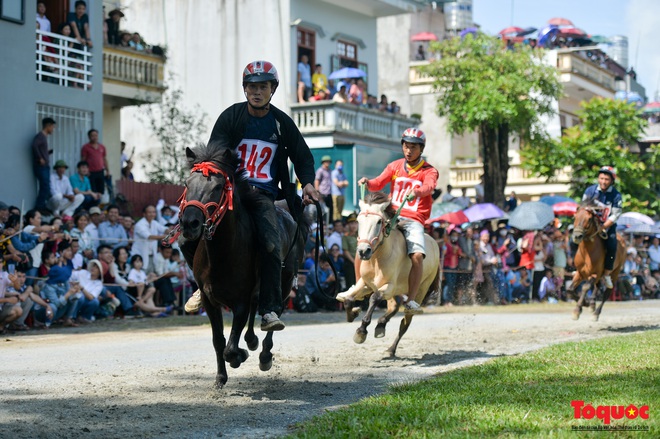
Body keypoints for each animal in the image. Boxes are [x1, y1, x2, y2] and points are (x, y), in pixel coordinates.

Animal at [175, 142, 310, 388]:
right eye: (187, 184)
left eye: (218, 186)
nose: (189, 223)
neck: (221, 254)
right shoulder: (210, 301)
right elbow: (219, 341)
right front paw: (220, 378)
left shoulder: (240, 301)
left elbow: (230, 346)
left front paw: (239, 356)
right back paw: (251, 340)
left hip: (285, 283)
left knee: (275, 309)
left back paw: (264, 353)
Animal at [336, 192, 438, 358]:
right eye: (358, 220)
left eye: (379, 221)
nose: (363, 251)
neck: (377, 258)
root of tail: (434, 243)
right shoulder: (366, 284)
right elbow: (349, 300)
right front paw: (353, 313)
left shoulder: (388, 286)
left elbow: (374, 298)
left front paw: (361, 331)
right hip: (396, 293)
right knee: (394, 307)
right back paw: (381, 325)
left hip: (419, 290)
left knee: (405, 323)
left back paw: (391, 348)